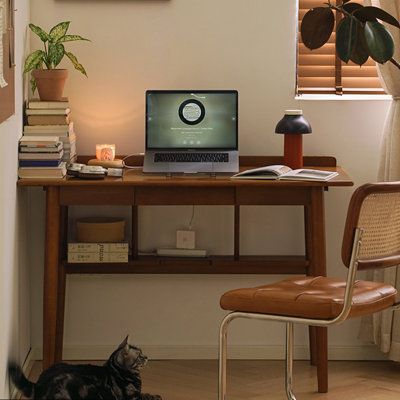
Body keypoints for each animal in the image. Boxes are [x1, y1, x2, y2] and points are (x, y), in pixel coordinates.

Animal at [7, 334, 162, 400]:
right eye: (140, 355)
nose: (147, 357)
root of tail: (39, 384)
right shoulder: (131, 397)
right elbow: (144, 397)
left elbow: (146, 394)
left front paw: (154, 395)